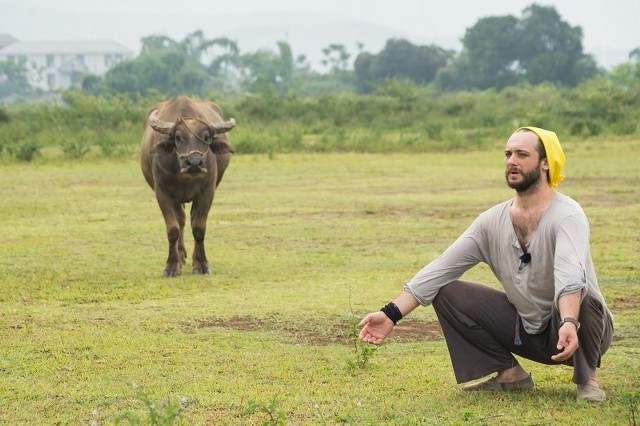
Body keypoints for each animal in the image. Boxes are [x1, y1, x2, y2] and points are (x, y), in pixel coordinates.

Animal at [140, 95, 235, 278]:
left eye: (206, 137)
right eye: (177, 137)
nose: (194, 163)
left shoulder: (207, 193)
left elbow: (199, 227)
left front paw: (201, 264)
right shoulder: (163, 194)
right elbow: (173, 229)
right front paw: (172, 266)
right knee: (181, 220)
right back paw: (181, 255)